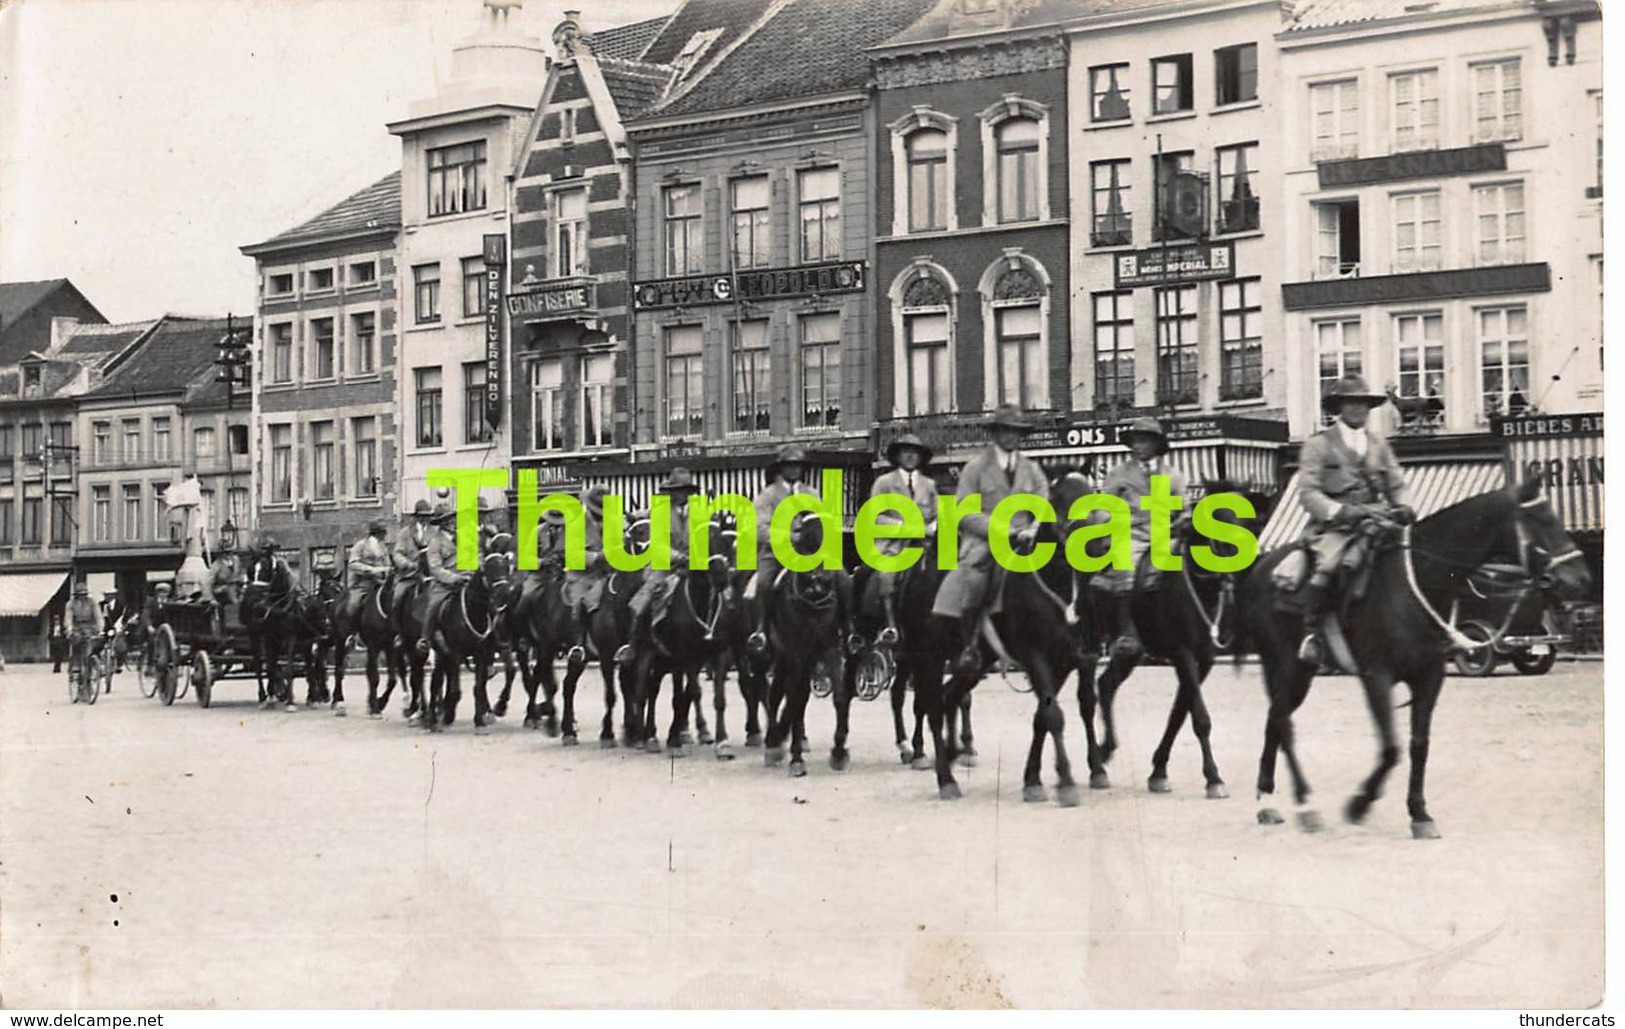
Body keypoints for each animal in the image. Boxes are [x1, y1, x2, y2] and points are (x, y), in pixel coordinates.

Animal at [923, 471, 1098, 803]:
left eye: (1092, 493)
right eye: (1058, 500)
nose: (1096, 542)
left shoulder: (1066, 661)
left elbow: (1043, 717)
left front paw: (1034, 780)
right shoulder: (1036, 658)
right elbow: (1053, 715)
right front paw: (1066, 782)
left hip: (976, 662)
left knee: (950, 695)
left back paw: (953, 755)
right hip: (926, 655)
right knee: (933, 707)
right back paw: (945, 779)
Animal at [1079, 477, 1267, 799]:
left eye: (1245, 519)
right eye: (1216, 517)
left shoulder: (1203, 659)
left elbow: (1179, 713)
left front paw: (1158, 771)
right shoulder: (1183, 654)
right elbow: (1199, 717)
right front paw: (1214, 779)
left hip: (1131, 655)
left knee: (1106, 686)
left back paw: (1105, 751)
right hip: (1088, 642)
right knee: (1087, 699)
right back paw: (1096, 768)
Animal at [1235, 481, 1592, 832]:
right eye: (1541, 521)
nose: (1582, 579)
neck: (1415, 582)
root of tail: (1260, 570)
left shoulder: (1429, 677)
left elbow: (1419, 744)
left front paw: (1419, 813)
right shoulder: (1376, 677)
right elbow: (1391, 748)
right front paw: (1359, 804)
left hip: (1299, 673)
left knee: (1275, 720)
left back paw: (1267, 801)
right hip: (1285, 665)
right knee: (1284, 724)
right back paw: (1304, 804)